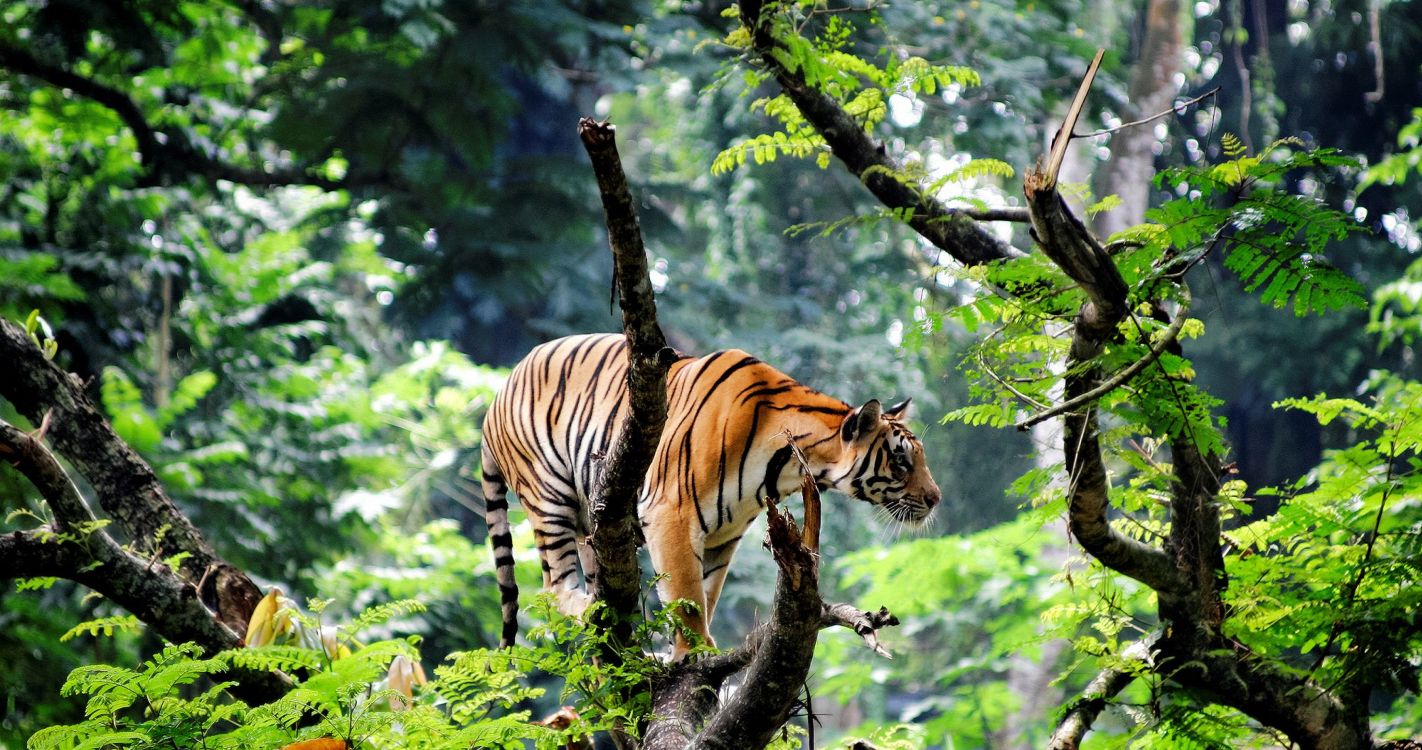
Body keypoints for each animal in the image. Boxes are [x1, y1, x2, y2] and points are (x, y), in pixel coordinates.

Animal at [480, 334, 944, 657]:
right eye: (902, 461)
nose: (936, 499)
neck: (789, 466)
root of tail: (496, 395)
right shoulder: (671, 513)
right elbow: (686, 595)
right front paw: (694, 653)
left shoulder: (724, 534)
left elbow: (706, 592)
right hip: (549, 497)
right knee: (553, 587)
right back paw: (594, 612)